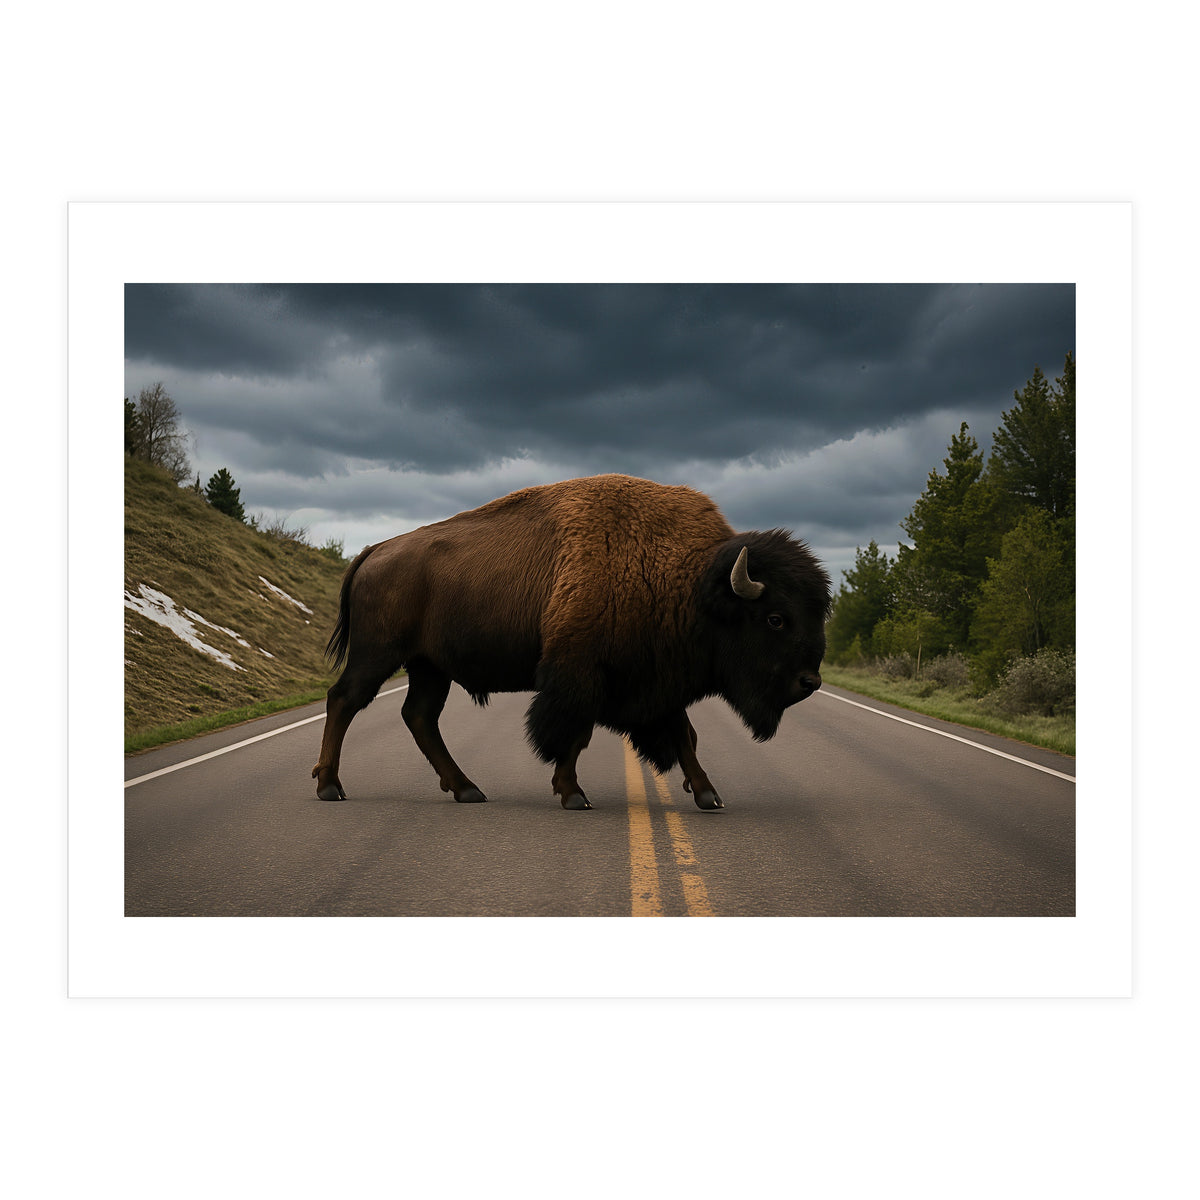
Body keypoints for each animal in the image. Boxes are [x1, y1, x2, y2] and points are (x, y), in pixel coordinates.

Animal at [312, 474, 832, 810]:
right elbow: (574, 733)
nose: (809, 681)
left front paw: (708, 794)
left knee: (419, 716)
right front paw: (573, 794)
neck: (690, 581)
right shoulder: (581, 674)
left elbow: (683, 734)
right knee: (344, 700)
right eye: (776, 619)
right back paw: (330, 787)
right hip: (379, 654)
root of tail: (375, 549)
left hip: (429, 667)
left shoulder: (656, 681)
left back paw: (466, 790)